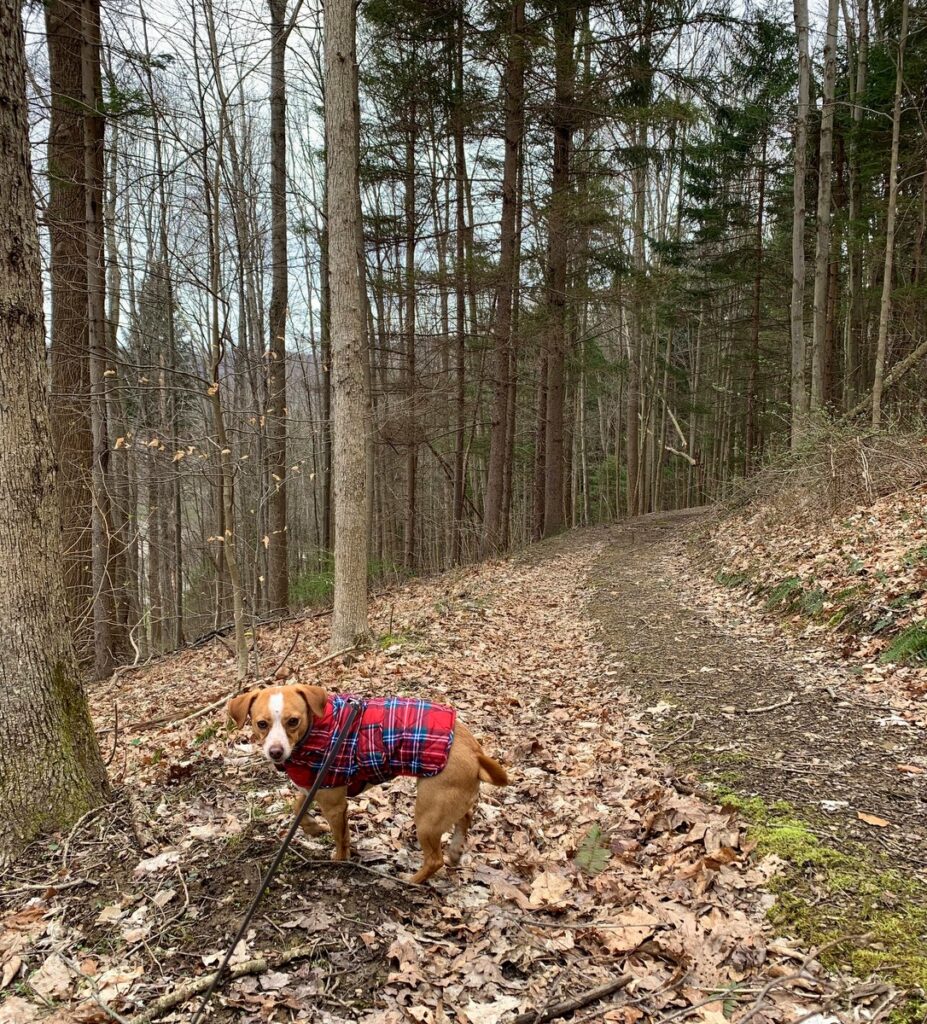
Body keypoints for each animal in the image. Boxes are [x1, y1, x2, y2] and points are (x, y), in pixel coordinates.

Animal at [227, 684, 510, 884]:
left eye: (293, 721)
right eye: (261, 724)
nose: (275, 752)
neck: (319, 728)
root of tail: (474, 751)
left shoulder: (333, 804)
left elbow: (340, 839)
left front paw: (339, 861)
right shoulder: (316, 787)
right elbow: (299, 808)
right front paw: (313, 828)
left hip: (428, 816)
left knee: (434, 859)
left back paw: (412, 880)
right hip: (450, 803)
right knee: (466, 817)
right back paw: (455, 850)